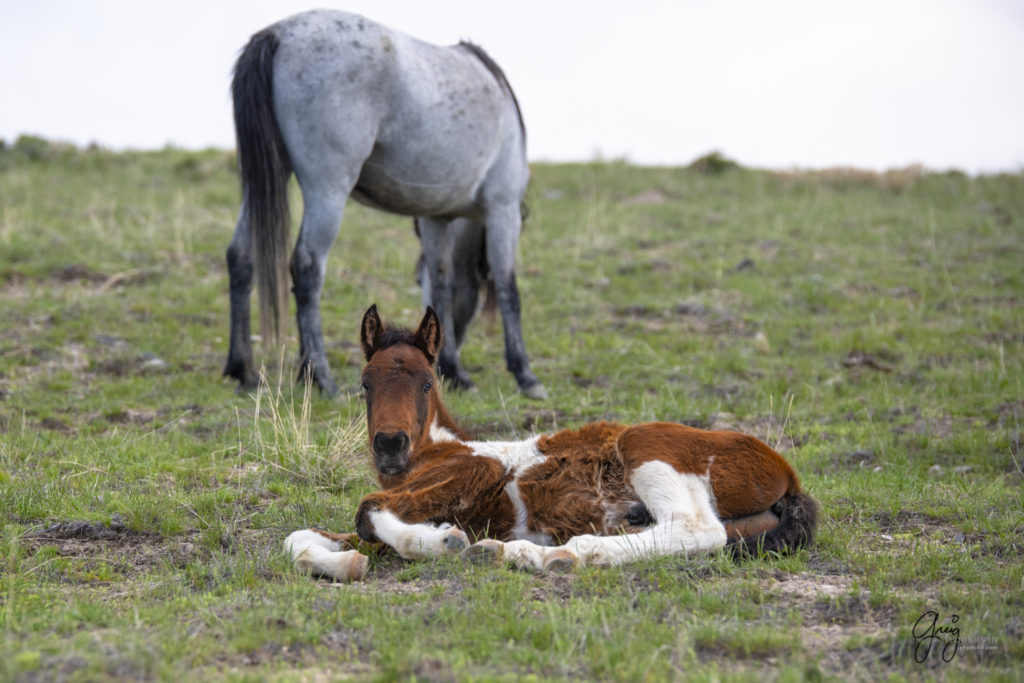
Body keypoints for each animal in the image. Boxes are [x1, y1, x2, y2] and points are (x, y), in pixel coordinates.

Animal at [221, 9, 548, 401]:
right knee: (307, 267)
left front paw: (455, 372)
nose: (431, 350)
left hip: (262, 180)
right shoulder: (503, 209)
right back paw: (321, 377)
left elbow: (442, 284)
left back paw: (243, 370)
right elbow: (508, 287)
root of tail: (279, 34)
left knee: (241, 257)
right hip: (327, 188)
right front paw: (525, 374)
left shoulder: (436, 217)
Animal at [282, 307, 815, 581]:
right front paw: (344, 562)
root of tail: (786, 471)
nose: (390, 445)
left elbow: (369, 509)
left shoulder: (475, 473)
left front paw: (445, 542)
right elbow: (301, 536)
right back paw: (528, 553)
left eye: (428, 383)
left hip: (648, 444)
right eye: (365, 384)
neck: (440, 451)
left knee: (698, 530)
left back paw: (567, 553)